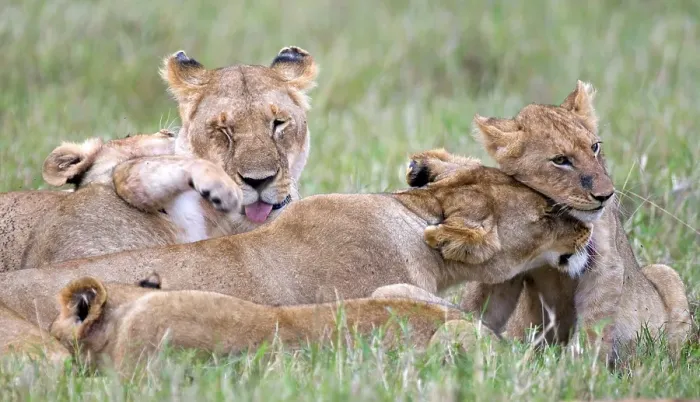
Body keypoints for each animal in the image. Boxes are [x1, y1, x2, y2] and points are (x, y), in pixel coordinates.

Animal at [457, 81, 691, 363]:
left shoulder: (605, 265)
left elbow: (594, 327)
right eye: (560, 160)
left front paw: (582, 367)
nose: (606, 195)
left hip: (666, 275)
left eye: (595, 147)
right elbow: (476, 304)